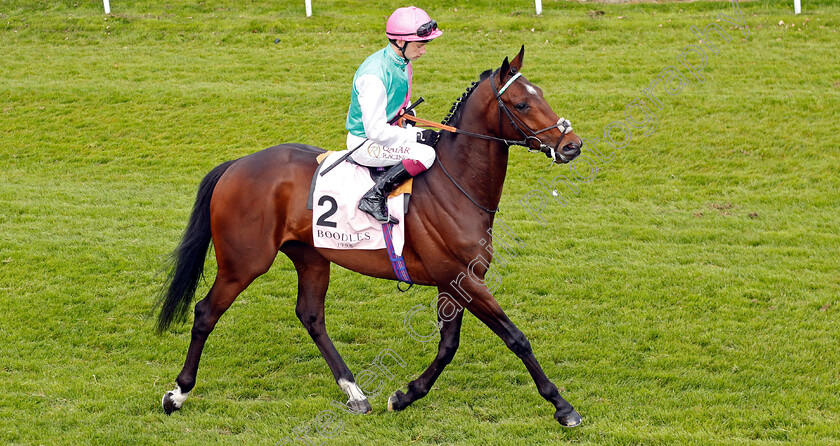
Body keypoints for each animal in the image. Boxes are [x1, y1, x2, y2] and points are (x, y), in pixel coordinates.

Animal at [161, 47, 588, 426]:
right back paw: (178, 394)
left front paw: (405, 395)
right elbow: (515, 338)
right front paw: (562, 406)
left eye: (541, 94)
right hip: (243, 262)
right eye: (522, 104)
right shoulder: (463, 279)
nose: (572, 145)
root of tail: (237, 165)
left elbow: (448, 346)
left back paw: (354, 392)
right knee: (206, 312)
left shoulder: (454, 284)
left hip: (311, 256)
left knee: (311, 315)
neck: (455, 183)